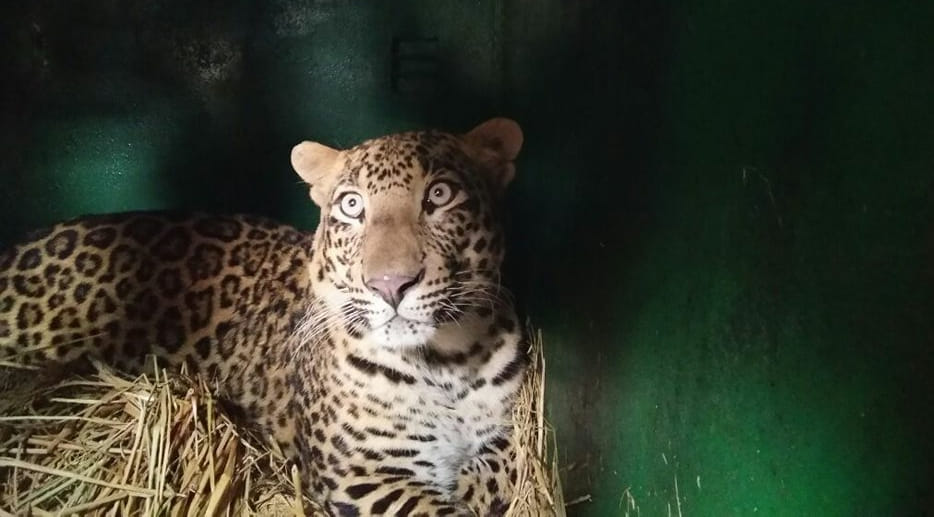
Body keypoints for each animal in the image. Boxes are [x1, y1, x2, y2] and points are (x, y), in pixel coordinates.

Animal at [0, 118, 529, 516]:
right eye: (351, 206)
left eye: (439, 195)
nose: (390, 285)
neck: (444, 364)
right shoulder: (365, 476)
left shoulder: (508, 427)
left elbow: (503, 463)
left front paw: (470, 487)